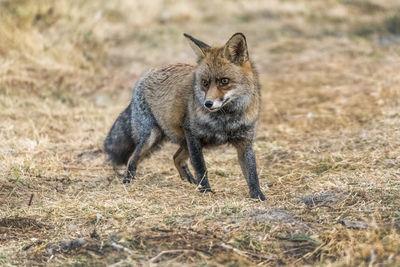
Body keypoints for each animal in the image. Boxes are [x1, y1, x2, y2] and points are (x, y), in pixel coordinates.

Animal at [104, 32, 264, 200]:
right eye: (205, 82)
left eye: (224, 81)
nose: (208, 103)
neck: (225, 120)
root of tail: (143, 77)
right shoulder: (193, 134)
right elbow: (200, 167)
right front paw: (205, 190)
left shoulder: (245, 141)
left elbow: (252, 173)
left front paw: (258, 196)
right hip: (152, 137)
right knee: (132, 159)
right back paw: (127, 182)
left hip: (185, 143)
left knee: (176, 158)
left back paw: (190, 181)